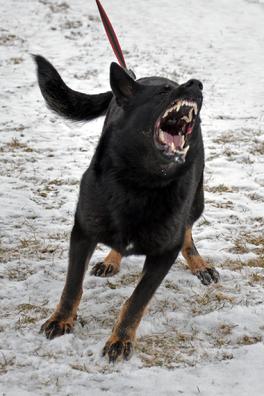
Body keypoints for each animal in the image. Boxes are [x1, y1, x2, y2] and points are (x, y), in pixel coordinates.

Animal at [34, 55, 219, 362]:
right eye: (163, 92)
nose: (197, 84)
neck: (141, 181)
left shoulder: (164, 252)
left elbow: (136, 301)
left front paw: (120, 339)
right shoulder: (82, 232)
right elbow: (72, 286)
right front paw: (62, 320)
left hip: (197, 199)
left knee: (187, 230)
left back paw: (199, 264)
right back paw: (112, 259)